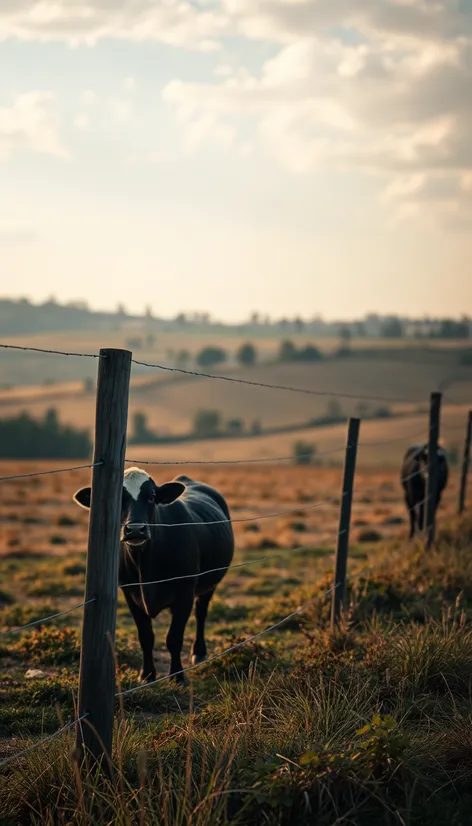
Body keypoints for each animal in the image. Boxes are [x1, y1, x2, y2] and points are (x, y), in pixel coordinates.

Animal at [73, 464, 234, 684]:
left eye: (151, 496)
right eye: (119, 498)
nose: (135, 530)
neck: (146, 565)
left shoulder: (185, 593)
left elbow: (174, 638)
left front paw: (177, 676)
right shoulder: (131, 595)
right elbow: (146, 636)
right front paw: (147, 674)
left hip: (209, 583)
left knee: (201, 612)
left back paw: (199, 651)